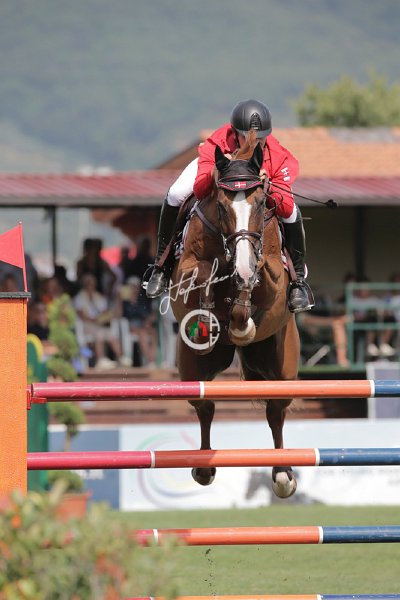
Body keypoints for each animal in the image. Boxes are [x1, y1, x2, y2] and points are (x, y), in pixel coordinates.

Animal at [168, 131, 300, 499]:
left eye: (260, 202)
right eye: (223, 206)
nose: (241, 263)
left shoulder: (275, 280)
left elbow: (259, 278)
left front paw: (242, 317)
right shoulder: (186, 272)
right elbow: (203, 274)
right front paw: (211, 314)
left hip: (283, 368)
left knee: (276, 411)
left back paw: (283, 475)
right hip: (192, 369)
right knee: (205, 405)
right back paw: (203, 468)